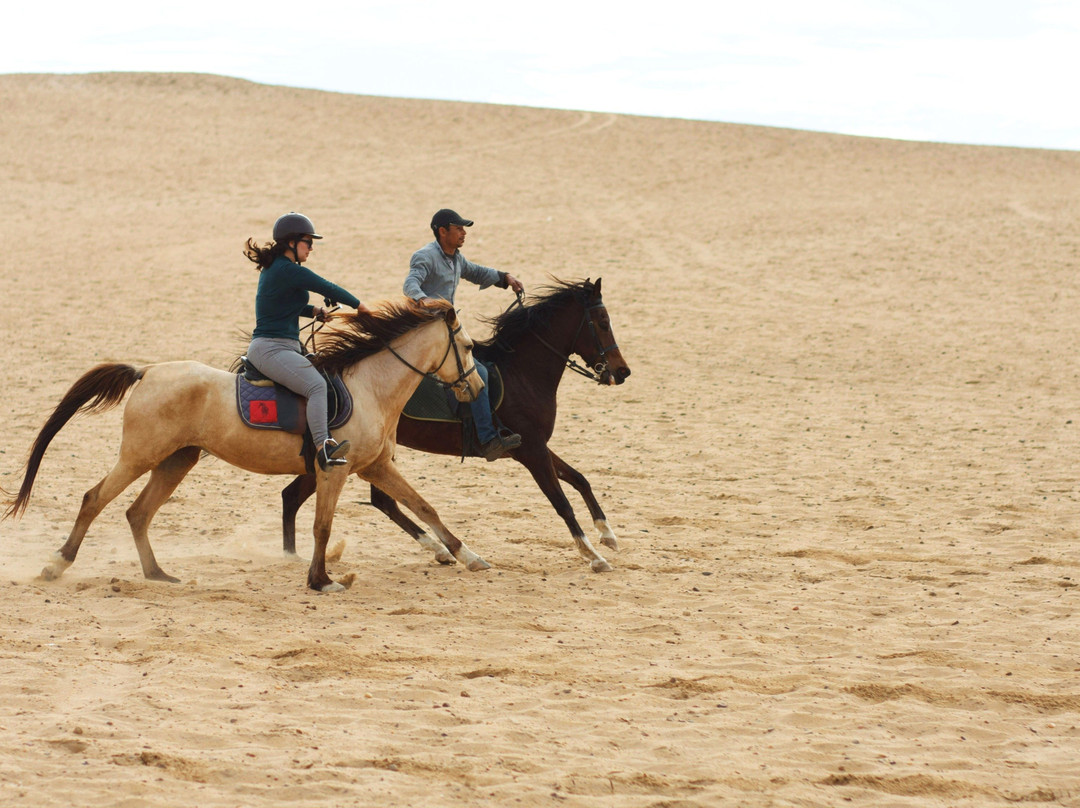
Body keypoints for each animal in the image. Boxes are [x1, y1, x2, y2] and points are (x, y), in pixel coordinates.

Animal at [2, 300, 488, 592]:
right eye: (466, 346)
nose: (478, 388)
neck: (371, 387)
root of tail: (148, 371)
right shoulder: (334, 469)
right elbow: (322, 526)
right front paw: (320, 580)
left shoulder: (375, 467)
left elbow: (424, 506)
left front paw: (468, 555)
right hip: (140, 456)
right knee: (95, 499)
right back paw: (57, 564)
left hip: (175, 461)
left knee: (137, 513)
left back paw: (157, 574)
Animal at [279, 277, 632, 572]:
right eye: (603, 323)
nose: (622, 371)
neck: (522, 373)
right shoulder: (532, 452)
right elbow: (562, 503)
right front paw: (593, 555)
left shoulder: (534, 447)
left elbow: (580, 480)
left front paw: (607, 534)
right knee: (299, 496)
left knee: (367, 500)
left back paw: (439, 550)